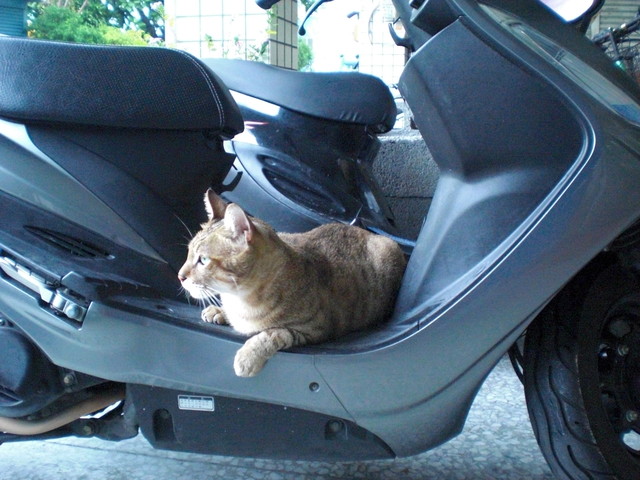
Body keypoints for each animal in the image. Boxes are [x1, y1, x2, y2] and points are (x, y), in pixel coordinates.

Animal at [178, 189, 406, 377]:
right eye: (188, 253)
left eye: (203, 260)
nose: (180, 276)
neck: (240, 300)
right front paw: (218, 311)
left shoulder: (315, 329)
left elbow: (274, 333)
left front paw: (248, 356)